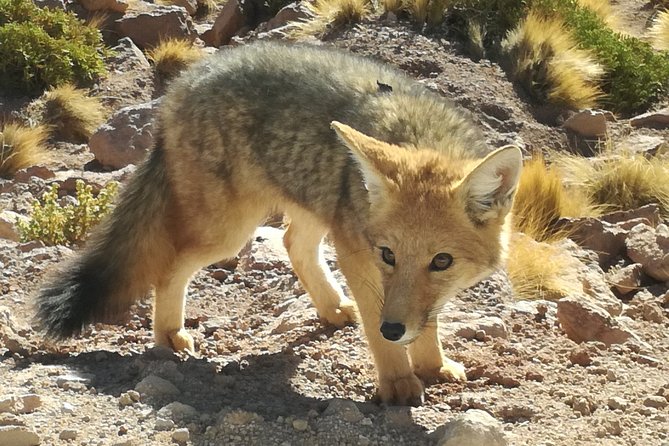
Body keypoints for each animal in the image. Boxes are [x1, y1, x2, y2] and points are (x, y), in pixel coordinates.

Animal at [36, 41, 520, 404]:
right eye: (388, 254)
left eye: (442, 261)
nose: (393, 328)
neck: (421, 133)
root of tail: (181, 85)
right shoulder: (358, 254)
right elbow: (380, 329)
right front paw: (399, 382)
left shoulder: (394, 277)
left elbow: (428, 319)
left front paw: (433, 365)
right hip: (229, 233)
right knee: (170, 268)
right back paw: (170, 335)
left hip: (310, 204)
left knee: (292, 245)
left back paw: (332, 309)